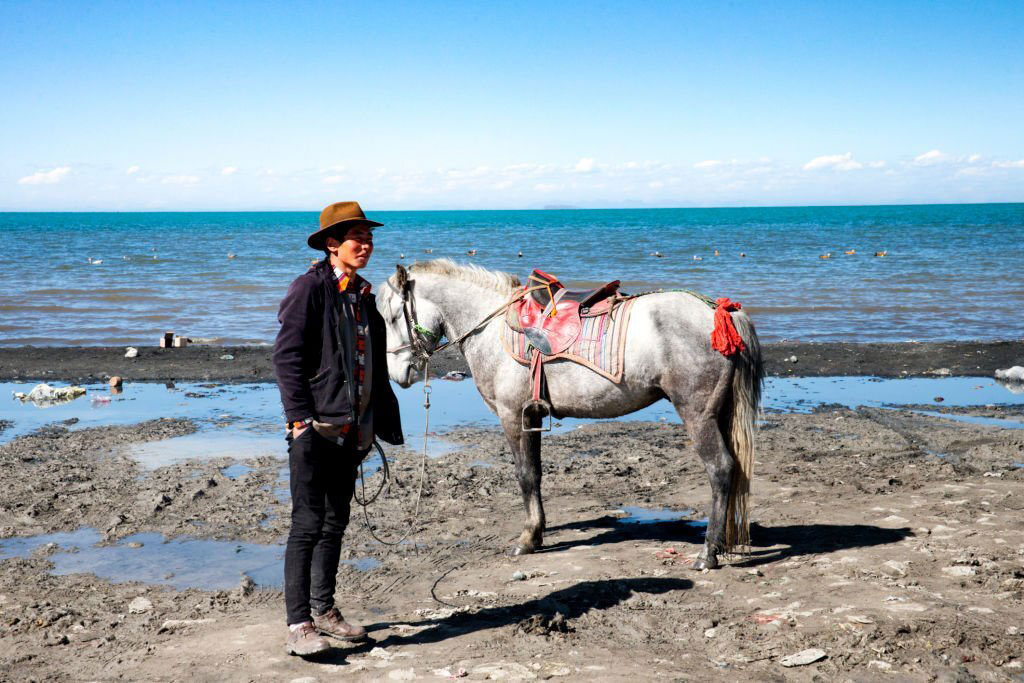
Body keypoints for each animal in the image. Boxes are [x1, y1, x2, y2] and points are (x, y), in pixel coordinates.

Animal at [380, 259, 765, 569]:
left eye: (394, 317)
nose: (398, 373)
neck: (491, 327)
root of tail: (720, 311)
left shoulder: (512, 417)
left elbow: (524, 476)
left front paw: (527, 539)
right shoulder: (532, 418)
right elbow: (535, 475)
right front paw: (537, 534)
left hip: (697, 414)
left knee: (720, 469)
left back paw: (708, 552)